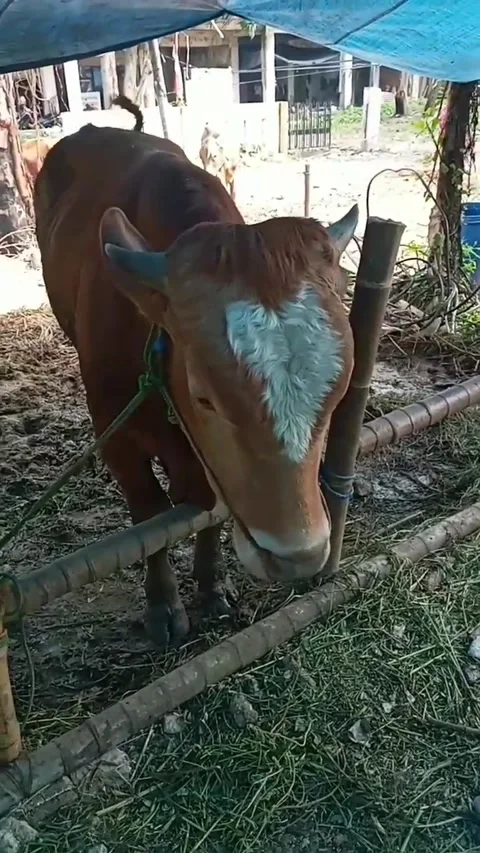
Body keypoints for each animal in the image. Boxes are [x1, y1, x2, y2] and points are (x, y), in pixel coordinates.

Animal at [34, 97, 358, 649]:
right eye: (206, 398)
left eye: (337, 395)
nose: (298, 556)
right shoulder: (117, 436)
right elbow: (149, 515)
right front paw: (163, 605)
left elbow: (208, 512)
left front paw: (211, 587)